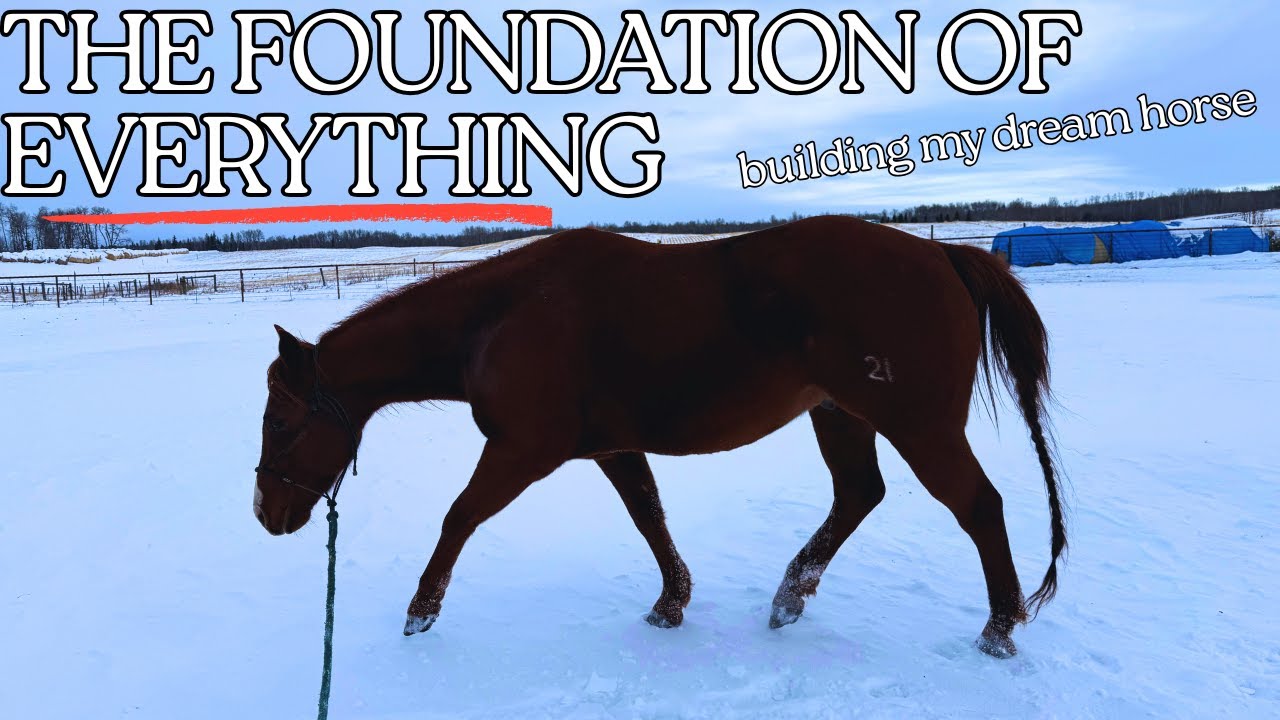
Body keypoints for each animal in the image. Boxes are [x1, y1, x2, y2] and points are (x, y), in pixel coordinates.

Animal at [252, 215, 1066, 658]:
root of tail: (943, 255)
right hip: (841, 415)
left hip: (916, 424)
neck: (501, 319)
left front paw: (421, 612)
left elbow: (460, 517)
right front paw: (672, 603)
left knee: (979, 507)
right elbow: (649, 517)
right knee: (859, 495)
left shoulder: (522, 451)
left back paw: (998, 628)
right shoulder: (612, 448)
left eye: (281, 423)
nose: (267, 513)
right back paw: (789, 597)